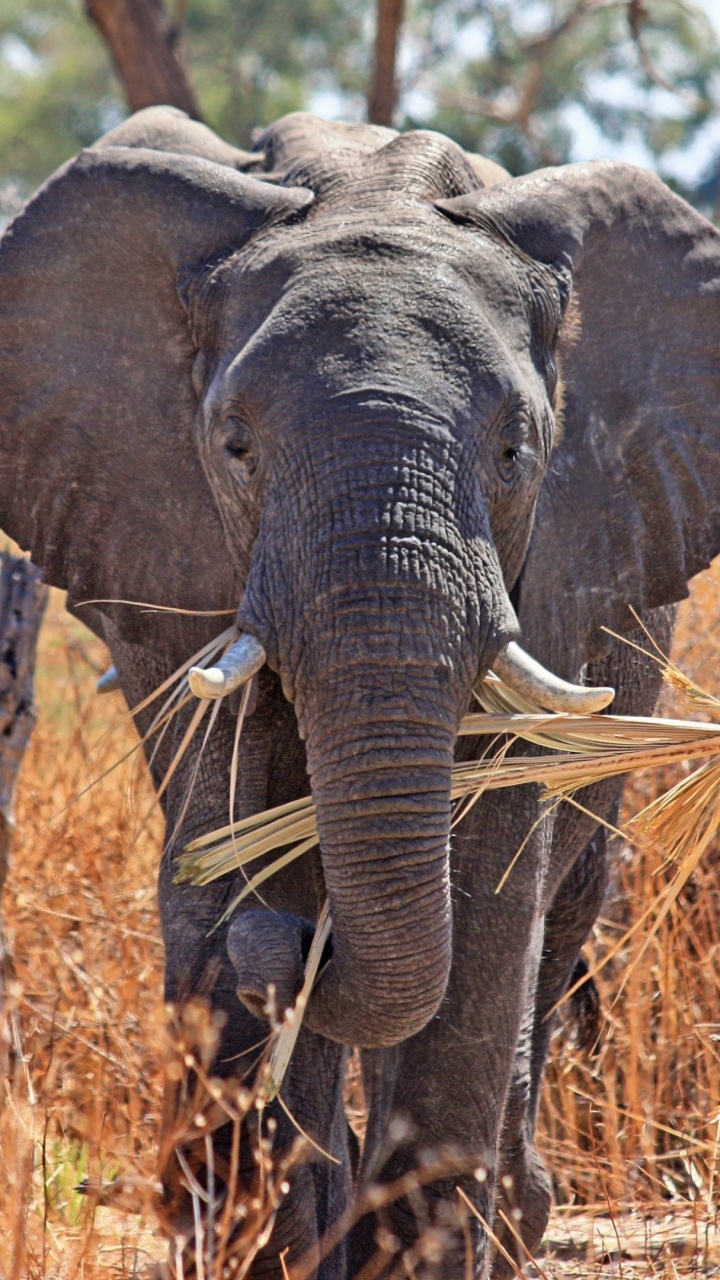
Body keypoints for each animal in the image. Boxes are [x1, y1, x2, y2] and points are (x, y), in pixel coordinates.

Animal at [1, 106, 720, 1278]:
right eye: (235, 446)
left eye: (516, 450)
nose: (298, 948)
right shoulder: (171, 549)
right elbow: (225, 827)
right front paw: (270, 1230)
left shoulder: (561, 557)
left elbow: (485, 886)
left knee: (560, 904)